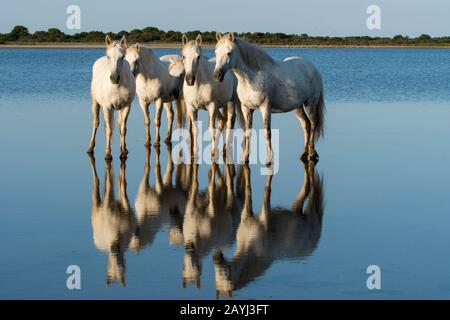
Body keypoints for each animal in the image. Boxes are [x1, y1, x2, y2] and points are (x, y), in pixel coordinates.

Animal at [214, 32, 324, 164]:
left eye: (229, 52)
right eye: (216, 52)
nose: (217, 75)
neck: (251, 78)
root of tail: (314, 69)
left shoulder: (265, 107)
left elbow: (267, 132)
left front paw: (269, 159)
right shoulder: (246, 109)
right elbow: (248, 132)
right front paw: (245, 157)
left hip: (310, 103)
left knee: (313, 124)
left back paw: (312, 152)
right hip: (297, 107)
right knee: (305, 124)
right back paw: (304, 153)